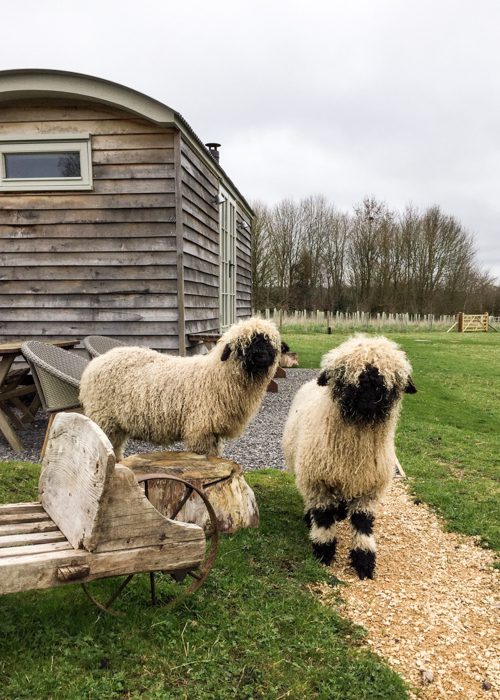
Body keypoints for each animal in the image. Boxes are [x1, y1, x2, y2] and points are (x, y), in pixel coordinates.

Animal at [79, 317, 281, 460]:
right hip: (104, 417)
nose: (263, 357)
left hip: (115, 423)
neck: (217, 375)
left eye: (269, 343)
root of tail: (95, 363)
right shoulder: (201, 429)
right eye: (244, 345)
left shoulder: (213, 431)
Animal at [282, 334, 417, 579]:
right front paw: (323, 553)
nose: (369, 397)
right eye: (345, 374)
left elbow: (362, 524)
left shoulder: (369, 487)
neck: (352, 454)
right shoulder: (319, 482)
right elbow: (324, 519)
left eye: (389, 379)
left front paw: (364, 561)